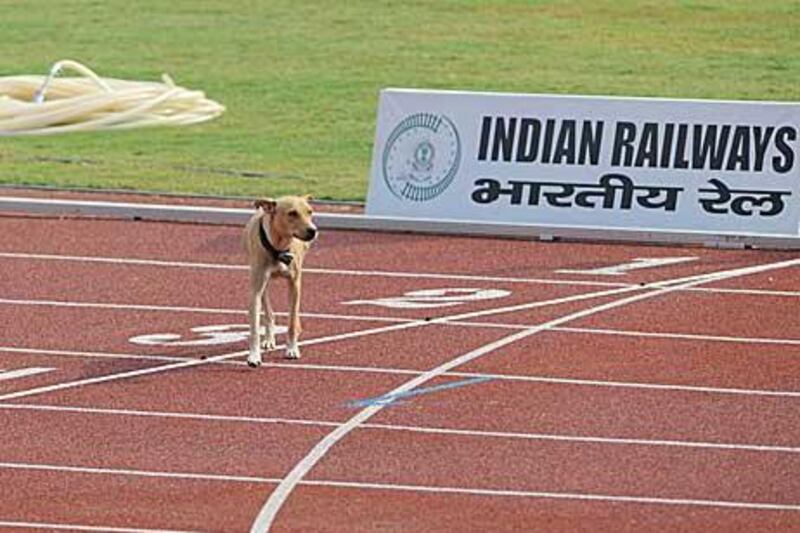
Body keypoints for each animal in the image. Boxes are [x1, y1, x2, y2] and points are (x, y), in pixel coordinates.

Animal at [242, 195, 318, 366]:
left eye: (309, 212)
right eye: (292, 213)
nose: (313, 230)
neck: (279, 247)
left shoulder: (295, 284)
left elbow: (291, 321)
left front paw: (292, 348)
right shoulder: (256, 289)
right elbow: (255, 327)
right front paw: (254, 355)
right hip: (262, 283)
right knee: (269, 313)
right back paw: (269, 338)